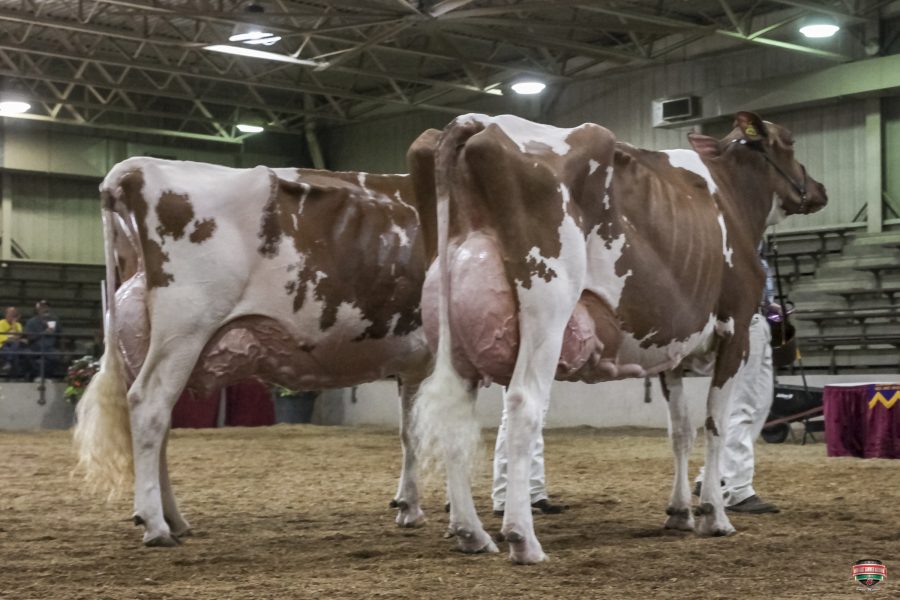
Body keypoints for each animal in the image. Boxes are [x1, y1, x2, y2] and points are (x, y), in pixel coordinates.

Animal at [74, 129, 442, 547]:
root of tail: (136, 168)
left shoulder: (413, 366)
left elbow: (410, 432)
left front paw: (409, 507)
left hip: (144, 340)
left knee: (158, 421)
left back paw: (175, 519)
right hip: (183, 329)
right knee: (149, 407)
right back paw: (156, 524)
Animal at [412, 111, 827, 563]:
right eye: (788, 141)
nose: (819, 189)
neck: (731, 197)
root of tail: (478, 121)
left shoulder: (670, 350)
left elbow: (680, 430)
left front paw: (679, 512)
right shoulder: (734, 331)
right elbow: (715, 424)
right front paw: (714, 515)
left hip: (449, 329)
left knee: (456, 416)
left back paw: (471, 533)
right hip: (548, 305)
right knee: (523, 405)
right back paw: (523, 538)